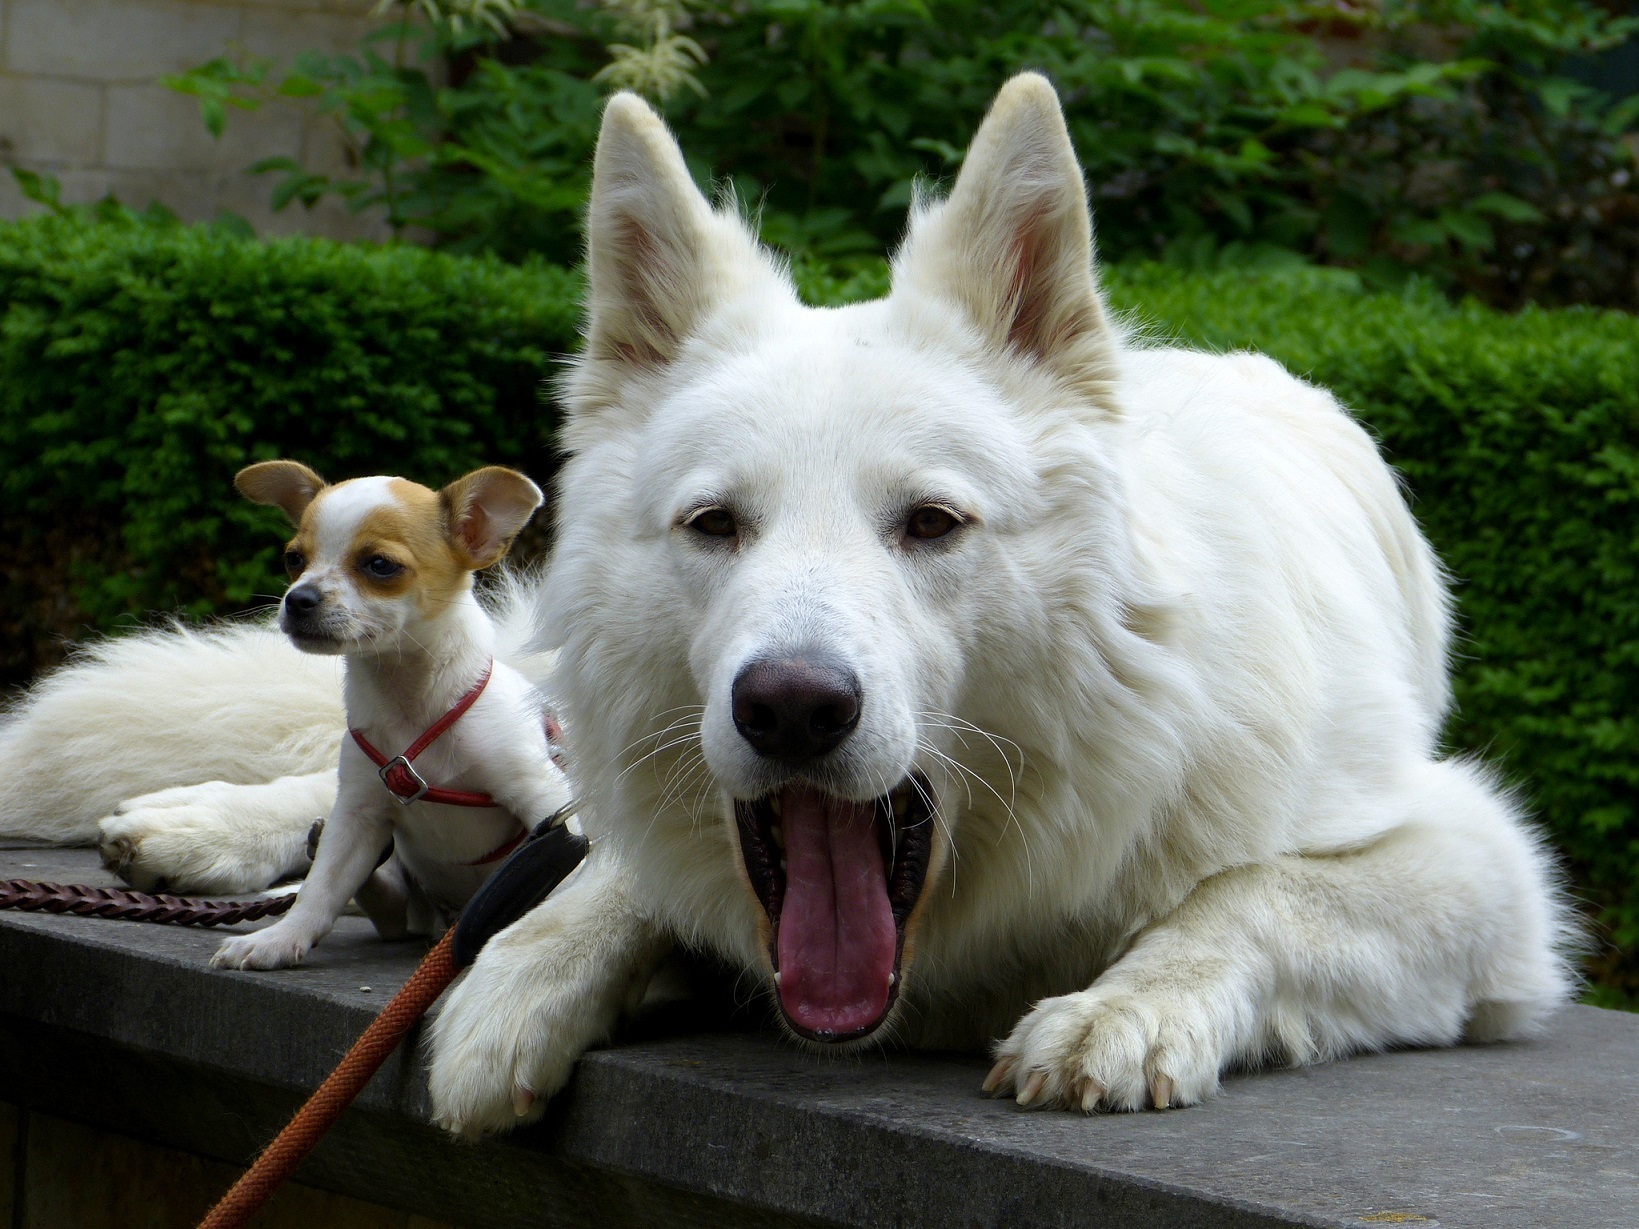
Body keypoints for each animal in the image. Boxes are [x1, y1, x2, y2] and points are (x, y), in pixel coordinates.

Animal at [211, 462, 573, 970]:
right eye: (293, 559)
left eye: (379, 565)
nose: (297, 599)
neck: (411, 706)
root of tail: (448, 914)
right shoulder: (358, 813)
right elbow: (321, 889)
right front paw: (280, 938)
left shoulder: (543, 799)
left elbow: (565, 878)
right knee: (392, 911)